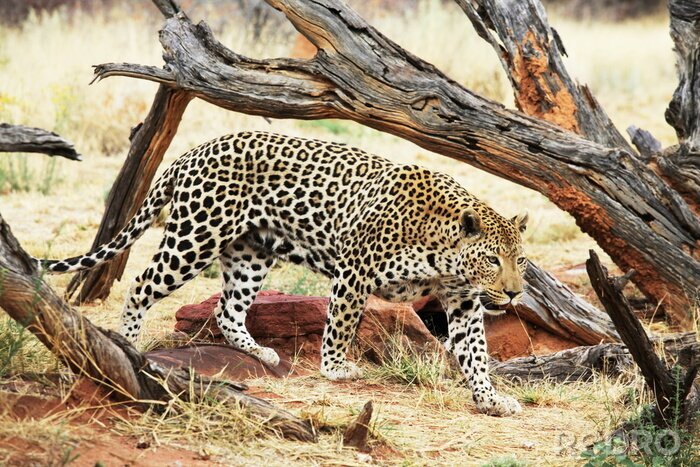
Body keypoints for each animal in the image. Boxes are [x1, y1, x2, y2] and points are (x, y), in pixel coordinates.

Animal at [38, 131, 528, 417]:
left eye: (520, 261)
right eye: (492, 260)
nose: (514, 294)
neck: (442, 250)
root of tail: (192, 151)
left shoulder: (463, 302)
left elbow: (476, 354)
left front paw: (490, 399)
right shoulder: (354, 273)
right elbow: (340, 325)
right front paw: (335, 370)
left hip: (250, 254)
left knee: (227, 310)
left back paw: (260, 352)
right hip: (195, 237)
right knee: (141, 286)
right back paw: (131, 346)